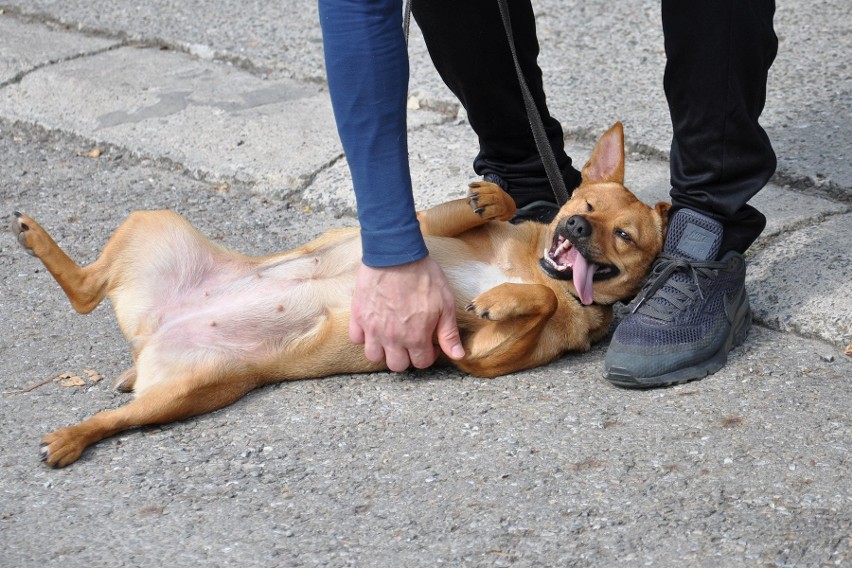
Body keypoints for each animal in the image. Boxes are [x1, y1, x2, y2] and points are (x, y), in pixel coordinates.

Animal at [10, 121, 668, 466]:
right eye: (584, 204)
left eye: (625, 235)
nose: (575, 227)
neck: (529, 267)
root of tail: (151, 336)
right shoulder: (420, 227)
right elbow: (489, 209)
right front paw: (492, 198)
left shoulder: (477, 357)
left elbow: (538, 303)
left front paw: (507, 299)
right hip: (154, 223)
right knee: (86, 288)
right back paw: (35, 237)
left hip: (185, 393)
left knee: (104, 376)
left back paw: (72, 436)